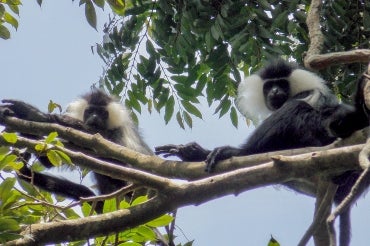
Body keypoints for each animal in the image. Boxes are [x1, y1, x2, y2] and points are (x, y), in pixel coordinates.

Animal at [1, 89, 152, 209]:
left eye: (102, 113)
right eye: (90, 111)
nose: (94, 117)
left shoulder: (118, 134)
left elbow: (121, 166)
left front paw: (36, 114)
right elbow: (47, 160)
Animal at [156, 59, 370, 246]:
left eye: (281, 84)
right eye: (269, 86)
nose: (275, 91)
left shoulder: (307, 95)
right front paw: (191, 152)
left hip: (319, 133)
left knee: (294, 110)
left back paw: (235, 152)